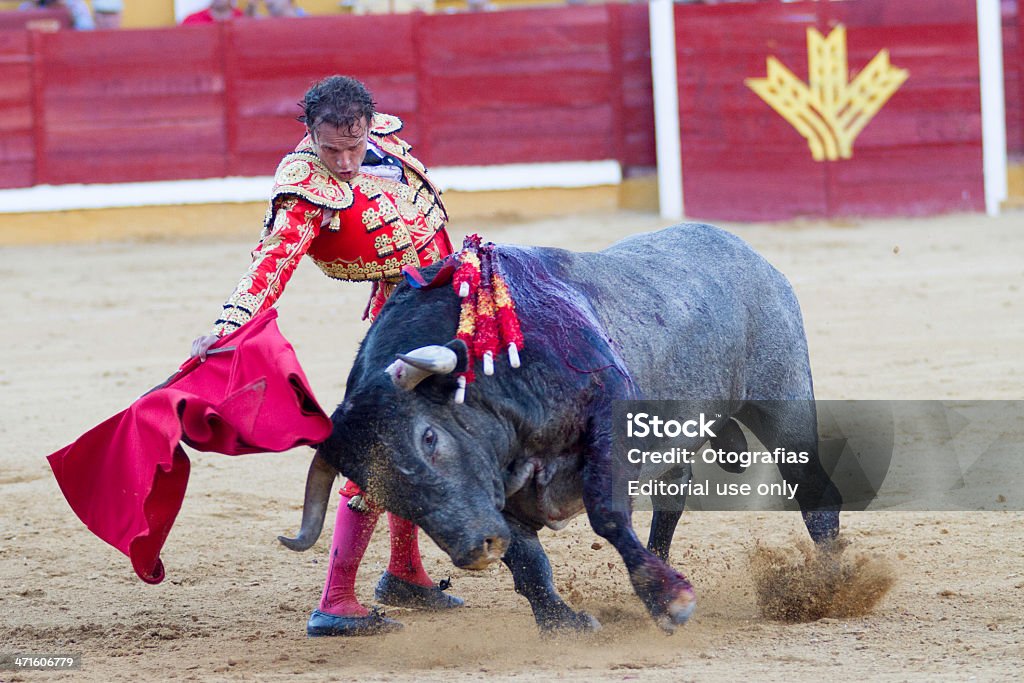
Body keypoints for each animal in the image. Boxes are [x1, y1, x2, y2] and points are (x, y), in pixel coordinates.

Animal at [280, 225, 839, 634]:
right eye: (375, 486)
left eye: (429, 437)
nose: (475, 549)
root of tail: (749, 254)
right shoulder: (498, 494)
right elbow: (527, 560)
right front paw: (563, 622)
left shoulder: (609, 412)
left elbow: (606, 514)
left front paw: (671, 600)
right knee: (671, 500)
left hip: (784, 400)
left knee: (813, 488)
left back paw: (831, 581)